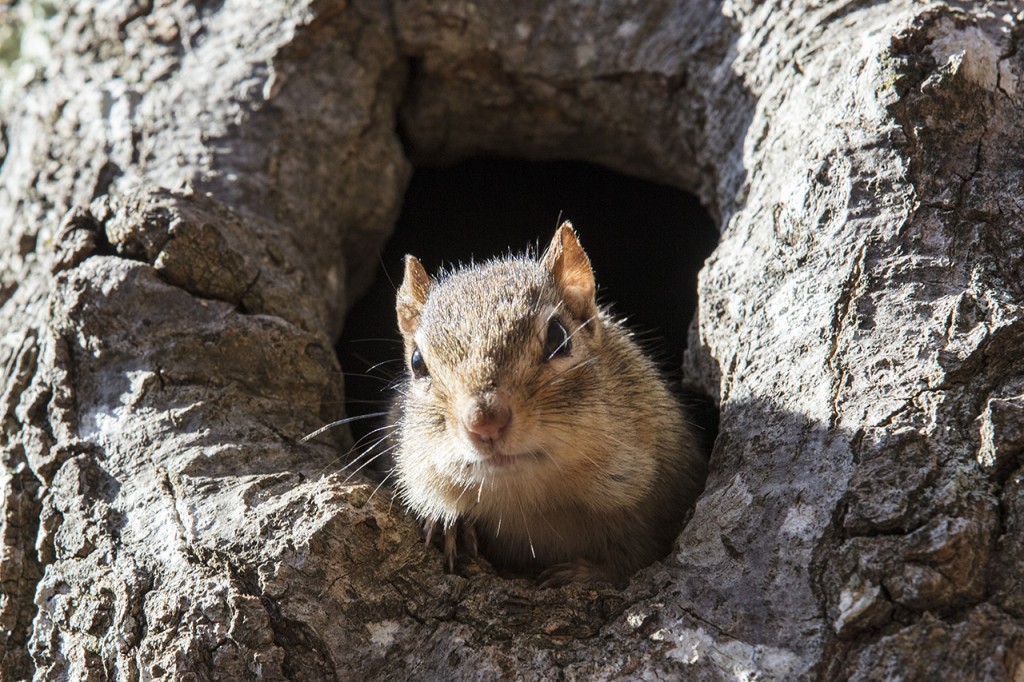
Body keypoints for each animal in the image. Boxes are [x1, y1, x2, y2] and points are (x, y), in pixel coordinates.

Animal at [387, 223, 708, 585]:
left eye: (558, 336)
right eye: (417, 362)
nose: (484, 423)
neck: (528, 504)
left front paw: (580, 574)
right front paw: (447, 523)